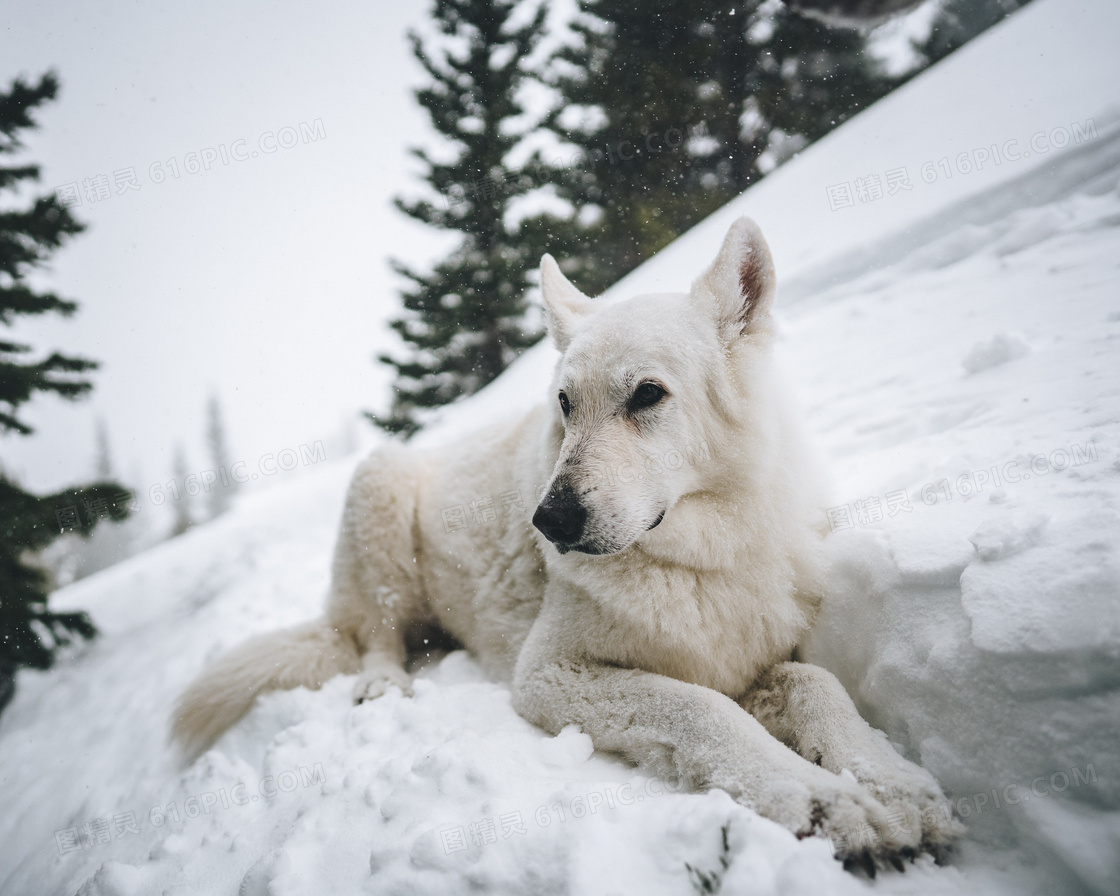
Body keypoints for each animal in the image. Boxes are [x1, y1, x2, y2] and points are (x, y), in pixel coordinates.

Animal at [170, 218, 958, 873]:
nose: (548, 521)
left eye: (647, 395)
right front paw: (820, 799)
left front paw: (892, 782)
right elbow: (702, 710)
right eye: (565, 404)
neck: (696, 560)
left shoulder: (749, 656)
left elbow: (815, 682)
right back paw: (383, 683)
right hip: (380, 484)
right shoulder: (550, 674)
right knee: (375, 635)